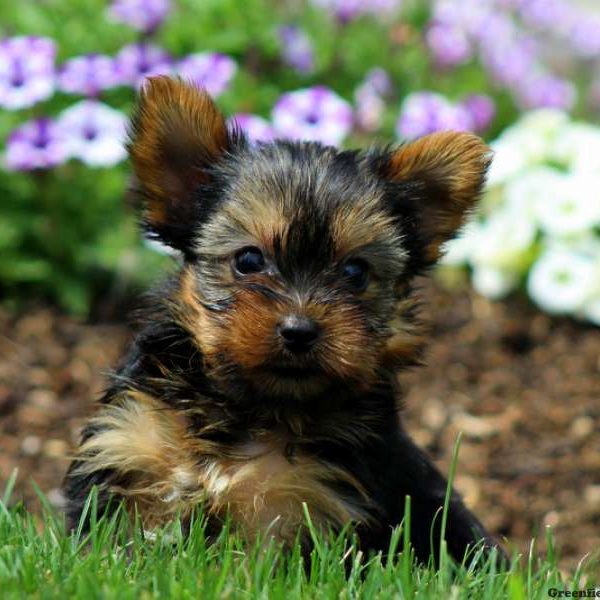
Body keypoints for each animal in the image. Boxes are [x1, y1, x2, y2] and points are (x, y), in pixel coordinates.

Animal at [63, 76, 506, 564]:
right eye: (248, 260)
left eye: (355, 272)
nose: (299, 330)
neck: (250, 406)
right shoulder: (129, 444)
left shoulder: (302, 501)